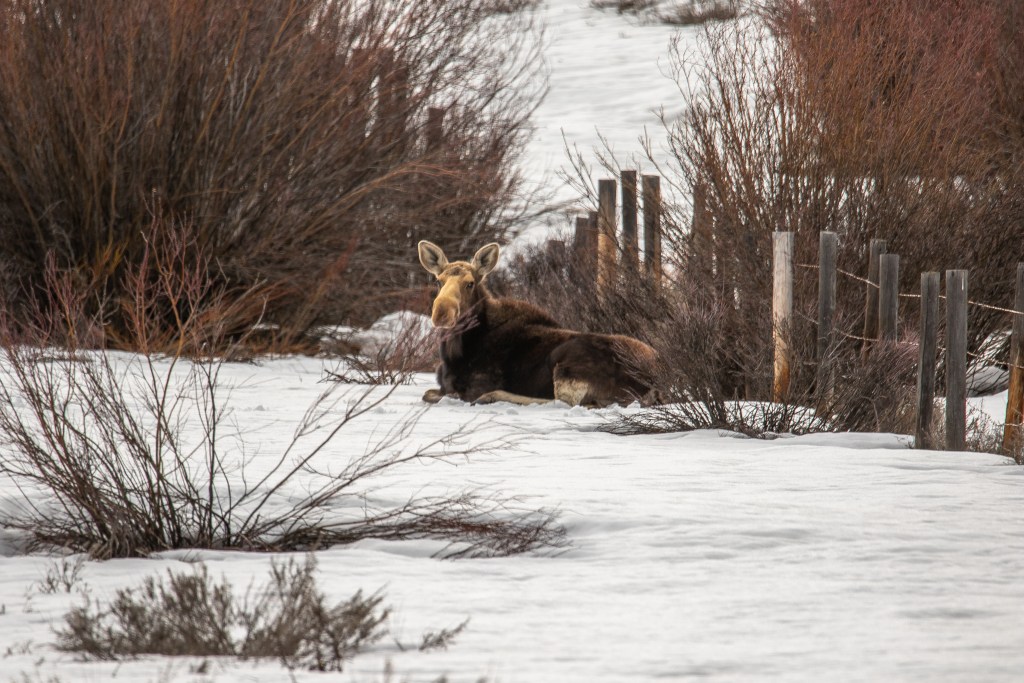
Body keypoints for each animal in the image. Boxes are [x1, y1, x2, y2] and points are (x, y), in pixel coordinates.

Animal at [417, 240, 658, 407]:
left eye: (470, 283)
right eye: (438, 281)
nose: (441, 313)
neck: (455, 352)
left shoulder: (473, 386)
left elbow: (435, 394)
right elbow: (429, 393)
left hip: (567, 364)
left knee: (568, 403)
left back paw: (491, 397)